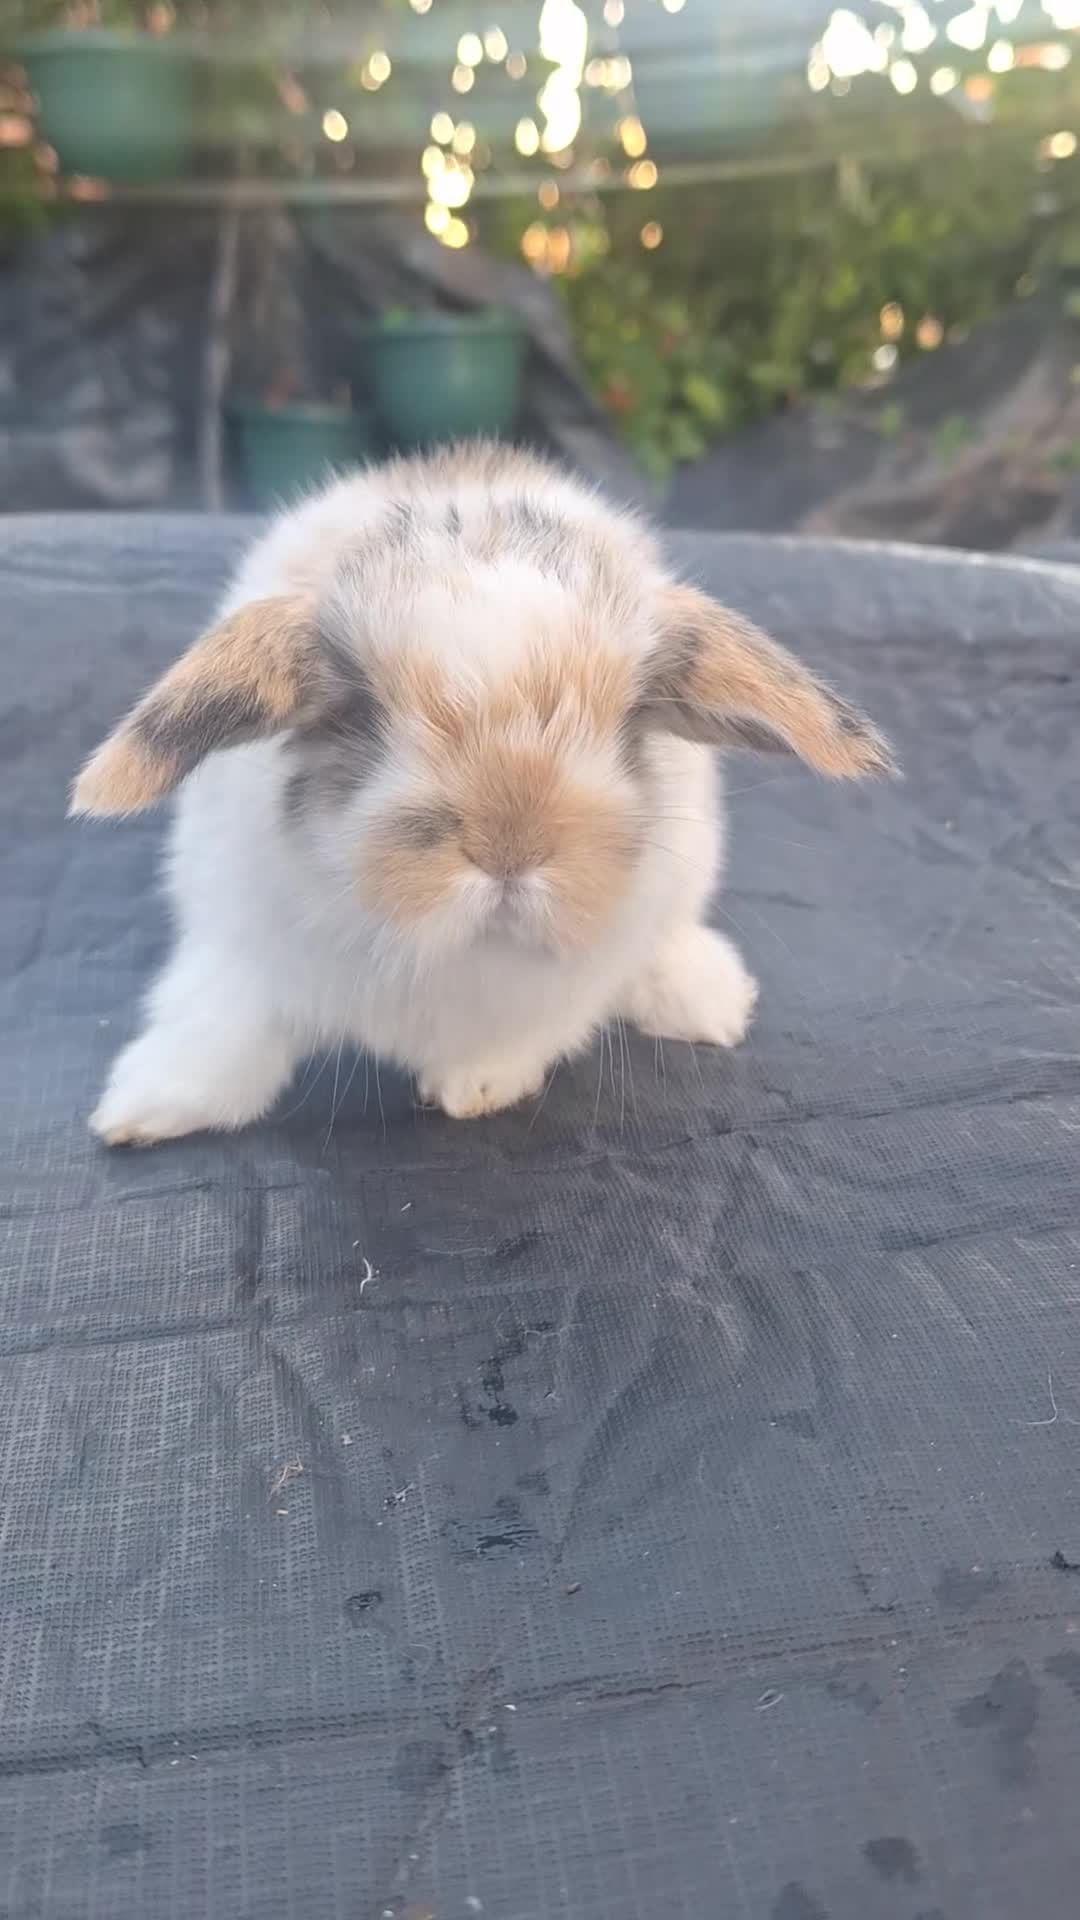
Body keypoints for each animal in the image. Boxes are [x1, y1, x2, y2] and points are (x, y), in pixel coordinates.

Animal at [71, 444, 894, 1144]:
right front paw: (137, 1111)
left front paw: (475, 1089)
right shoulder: (240, 946)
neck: (457, 953)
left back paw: (710, 1003)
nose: (509, 848)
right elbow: (219, 1029)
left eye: (632, 717)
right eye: (360, 714)